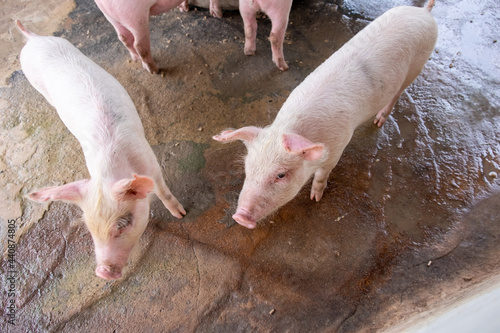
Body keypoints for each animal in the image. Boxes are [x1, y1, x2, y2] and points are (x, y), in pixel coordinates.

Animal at [17, 20, 187, 278]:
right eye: (90, 229)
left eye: (123, 224)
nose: (102, 272)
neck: (112, 168)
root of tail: (34, 39)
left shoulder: (150, 162)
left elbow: (163, 191)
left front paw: (181, 214)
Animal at [94, 0, 223, 73]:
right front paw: (218, 15)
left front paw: (184, 9)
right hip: (136, 16)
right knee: (139, 45)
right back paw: (155, 70)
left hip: (110, 16)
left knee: (123, 38)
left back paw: (136, 59)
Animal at [214, 0, 438, 228]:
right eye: (247, 168)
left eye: (280, 175)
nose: (239, 217)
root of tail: (423, 12)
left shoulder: (337, 149)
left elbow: (322, 175)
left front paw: (315, 198)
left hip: (417, 66)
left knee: (396, 95)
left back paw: (378, 121)